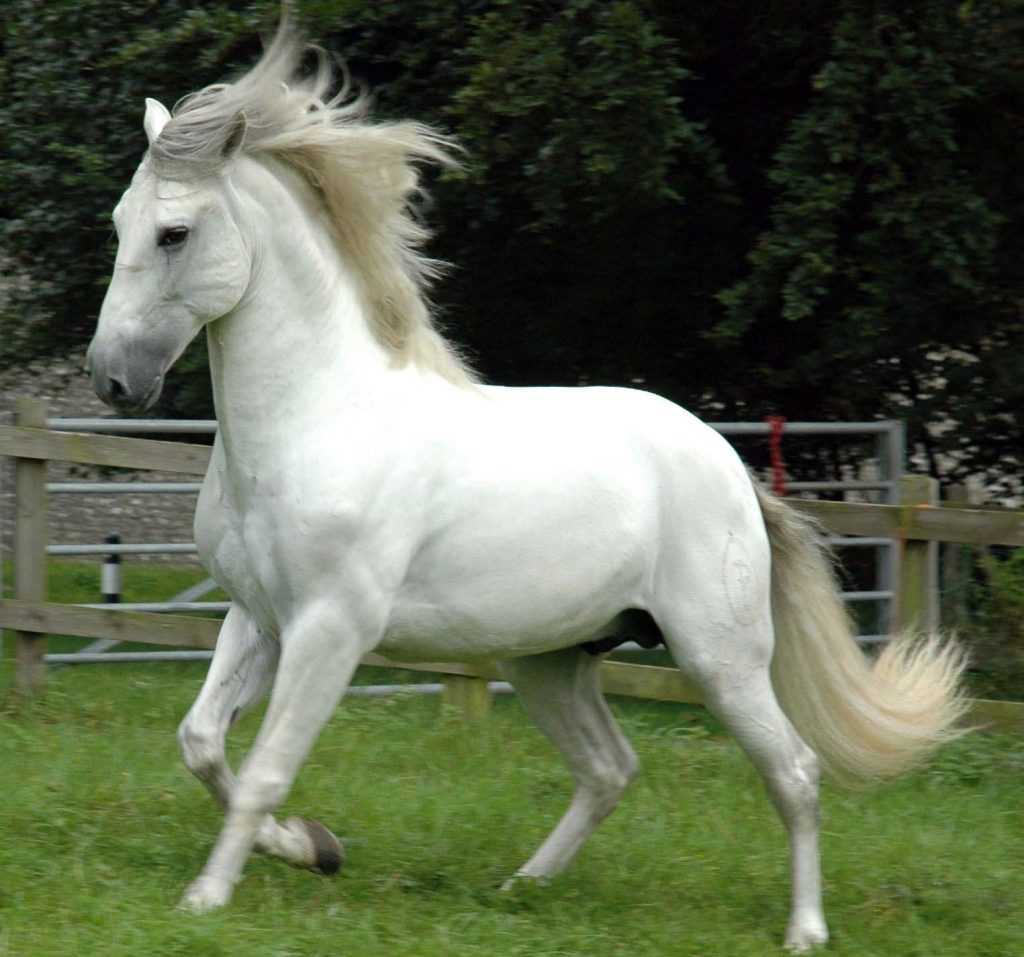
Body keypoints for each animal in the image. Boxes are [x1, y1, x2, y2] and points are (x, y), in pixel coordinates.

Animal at [84, 20, 967, 952]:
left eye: (174, 232)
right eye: (119, 223)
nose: (112, 378)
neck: (317, 416)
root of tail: (729, 467)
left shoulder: (330, 630)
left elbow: (262, 769)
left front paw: (207, 896)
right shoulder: (257, 617)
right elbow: (202, 743)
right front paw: (316, 848)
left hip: (719, 655)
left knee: (793, 771)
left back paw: (804, 929)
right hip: (549, 659)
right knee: (610, 766)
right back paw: (521, 888)